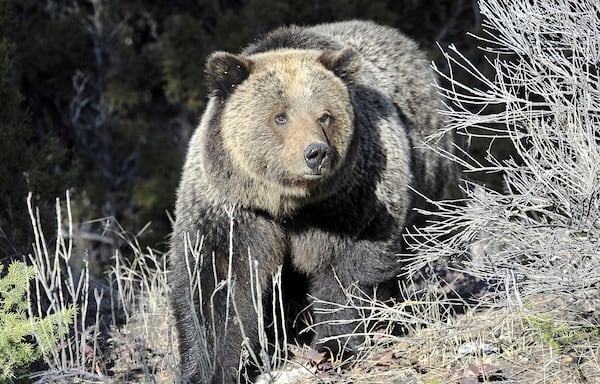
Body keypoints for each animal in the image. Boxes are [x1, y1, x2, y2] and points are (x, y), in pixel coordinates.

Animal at [171, 21, 452, 384]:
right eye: (280, 117)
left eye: (325, 116)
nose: (316, 153)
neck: (290, 204)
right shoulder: (234, 208)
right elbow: (218, 282)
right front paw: (209, 367)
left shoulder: (353, 201)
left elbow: (348, 271)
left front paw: (335, 346)